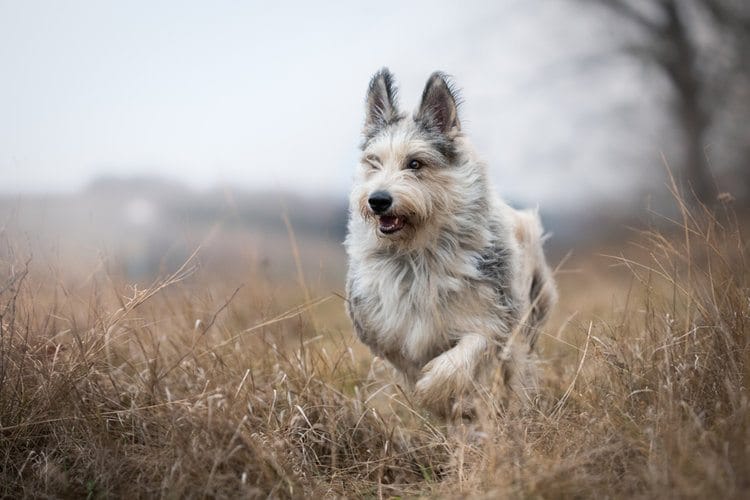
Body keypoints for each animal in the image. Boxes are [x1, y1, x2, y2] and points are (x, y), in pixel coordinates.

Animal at [346, 68, 560, 416]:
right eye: (374, 162)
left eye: (415, 163)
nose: (378, 200)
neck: (418, 255)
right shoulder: (390, 333)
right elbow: (408, 366)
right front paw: (436, 406)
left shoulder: (493, 316)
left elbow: (466, 354)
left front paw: (436, 390)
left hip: (528, 315)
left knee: (519, 367)